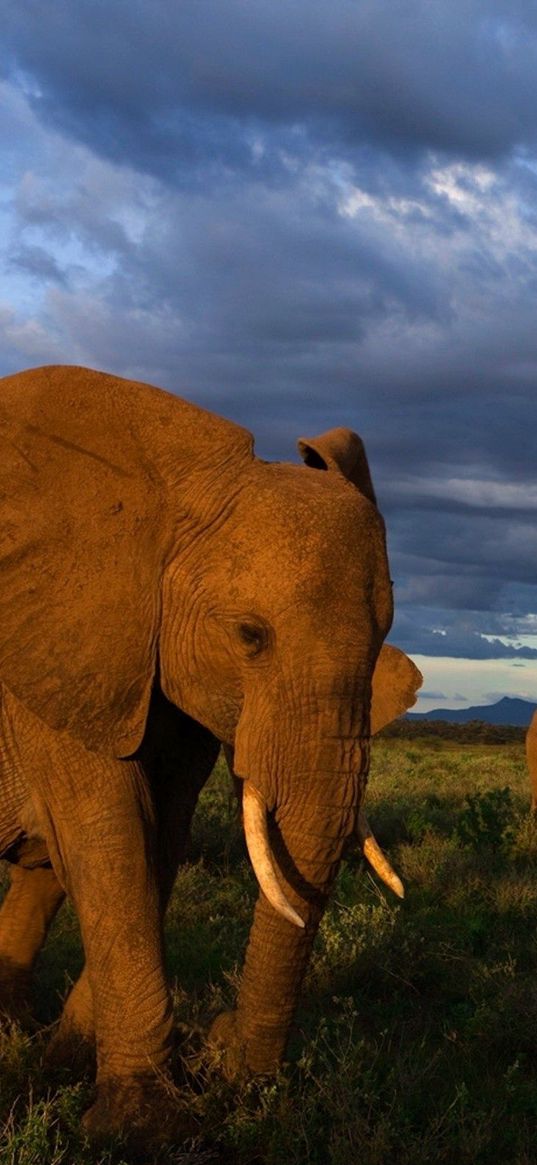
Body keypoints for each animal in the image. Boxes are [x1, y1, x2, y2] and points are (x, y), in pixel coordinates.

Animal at [0, 368, 419, 1151]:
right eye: (250, 635)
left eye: (383, 639)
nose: (223, 1049)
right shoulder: (57, 656)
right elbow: (111, 836)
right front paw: (141, 1125)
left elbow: (157, 834)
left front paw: (72, 1065)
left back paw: (19, 1038)